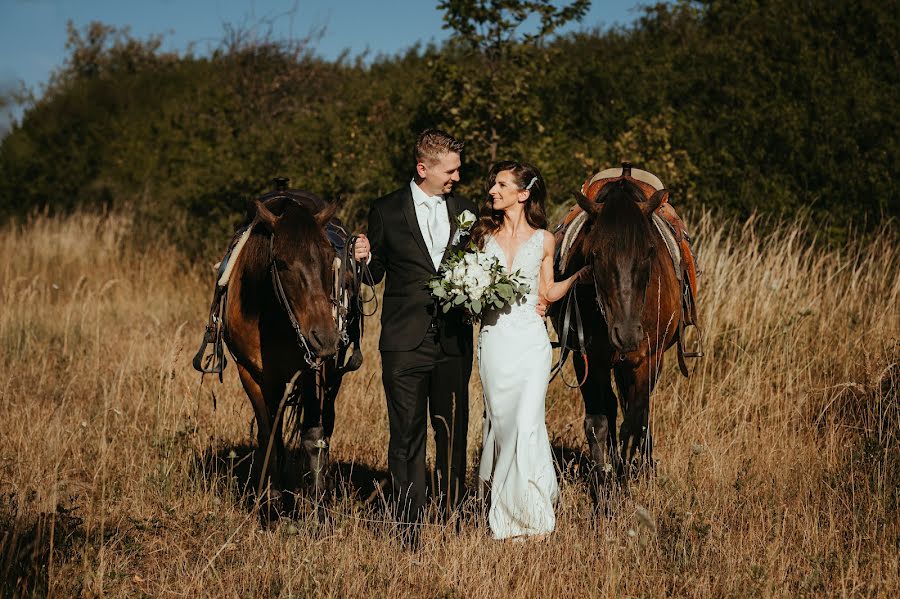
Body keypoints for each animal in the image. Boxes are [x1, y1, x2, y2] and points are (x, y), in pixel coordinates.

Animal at [221, 196, 356, 516]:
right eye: (281, 263)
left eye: (329, 256)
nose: (326, 337)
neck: (273, 315)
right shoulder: (252, 375)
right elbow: (269, 434)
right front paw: (271, 502)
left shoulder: (314, 371)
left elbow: (313, 435)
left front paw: (319, 507)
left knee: (326, 423)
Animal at [556, 179, 684, 478]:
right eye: (595, 254)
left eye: (650, 252)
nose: (626, 335)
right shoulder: (587, 360)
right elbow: (598, 423)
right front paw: (603, 484)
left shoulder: (648, 360)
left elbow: (633, 422)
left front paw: (625, 478)